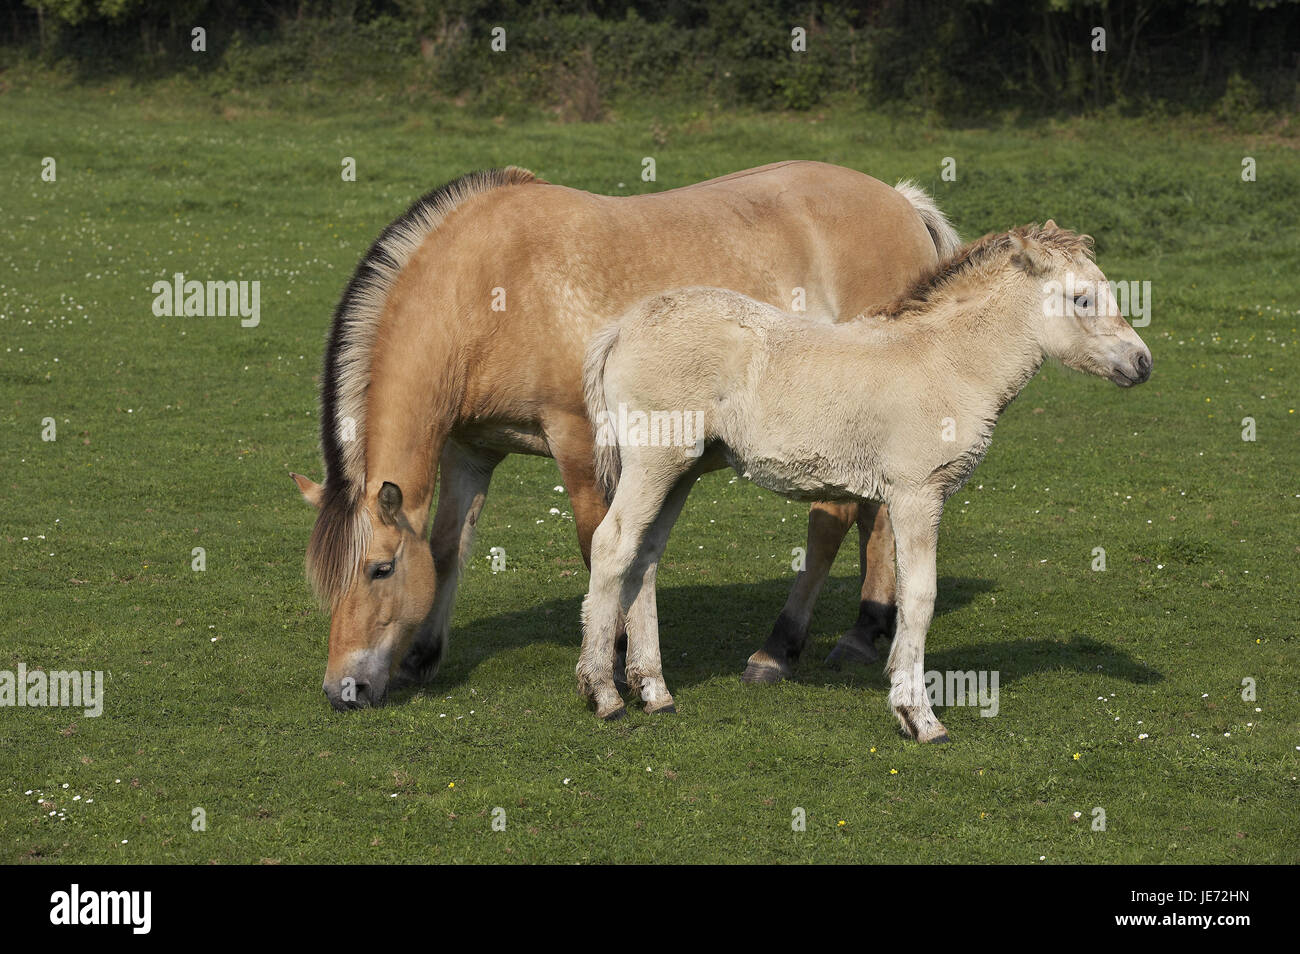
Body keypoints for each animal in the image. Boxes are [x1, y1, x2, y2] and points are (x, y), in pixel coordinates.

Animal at [289, 162, 960, 710]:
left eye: (379, 570)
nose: (344, 690)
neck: (489, 290)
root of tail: (902, 204)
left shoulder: (580, 445)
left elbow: (601, 548)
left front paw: (610, 661)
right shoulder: (470, 452)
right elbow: (449, 547)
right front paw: (423, 657)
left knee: (832, 521)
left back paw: (780, 648)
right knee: (873, 517)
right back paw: (866, 628)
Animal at [578, 223, 1152, 740]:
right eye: (1081, 299)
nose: (1143, 362)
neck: (948, 362)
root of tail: (621, 329)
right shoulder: (918, 494)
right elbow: (919, 595)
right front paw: (918, 717)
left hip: (682, 469)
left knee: (645, 557)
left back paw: (654, 690)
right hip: (654, 462)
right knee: (613, 544)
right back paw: (604, 694)